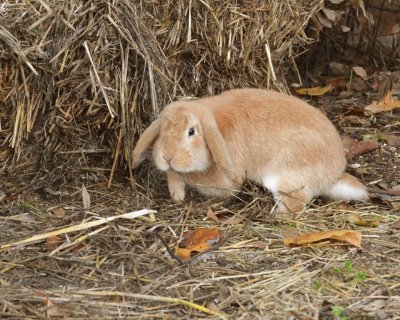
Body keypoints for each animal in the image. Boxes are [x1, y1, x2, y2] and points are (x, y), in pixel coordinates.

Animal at [132, 87, 368, 212]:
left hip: (283, 177)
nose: (167, 156)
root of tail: (333, 174)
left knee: (296, 204)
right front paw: (177, 194)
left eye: (191, 131)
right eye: (162, 130)